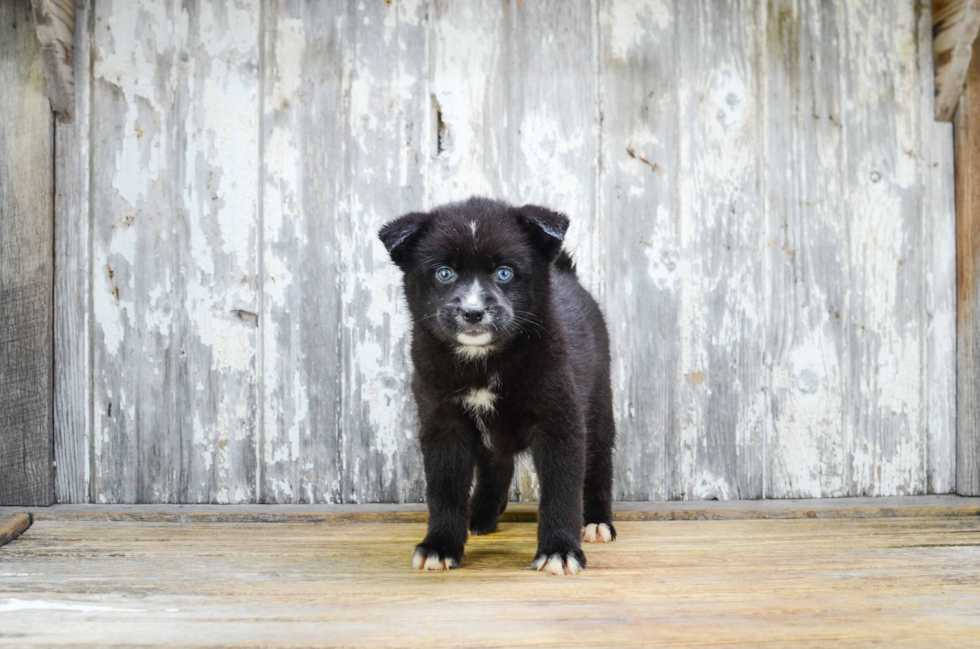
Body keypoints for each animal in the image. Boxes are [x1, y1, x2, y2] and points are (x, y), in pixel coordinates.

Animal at [378, 196, 616, 572]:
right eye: (444, 273)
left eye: (504, 272)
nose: (473, 313)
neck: (483, 361)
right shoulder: (443, 423)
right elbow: (445, 489)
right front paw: (440, 545)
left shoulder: (560, 420)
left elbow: (561, 490)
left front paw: (559, 551)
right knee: (497, 464)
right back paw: (480, 517)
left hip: (598, 402)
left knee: (599, 462)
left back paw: (596, 521)